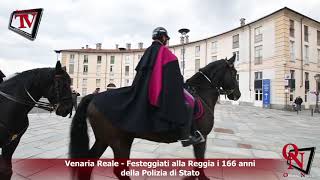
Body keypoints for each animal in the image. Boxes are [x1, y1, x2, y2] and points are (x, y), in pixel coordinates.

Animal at [69, 55, 240, 179]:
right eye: (235, 74)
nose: (237, 95)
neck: (200, 94)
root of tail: (94, 97)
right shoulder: (201, 138)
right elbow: (199, 163)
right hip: (119, 142)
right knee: (119, 170)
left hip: (105, 139)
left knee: (89, 162)